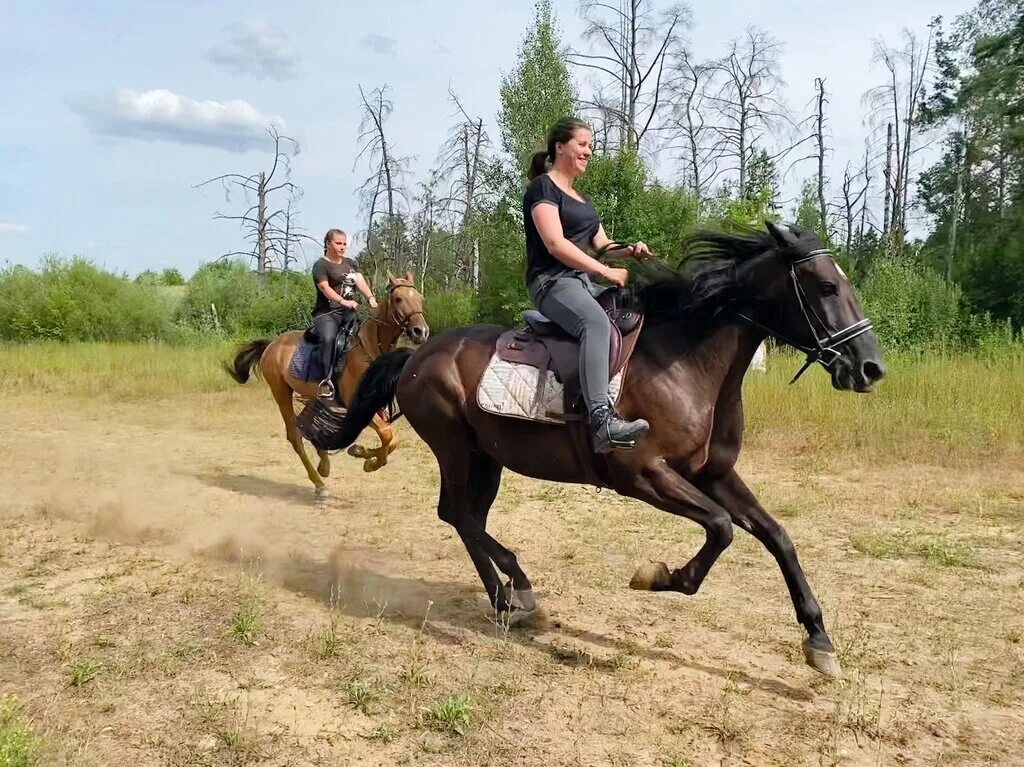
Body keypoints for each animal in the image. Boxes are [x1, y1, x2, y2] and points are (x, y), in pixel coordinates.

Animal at [226, 270, 430, 497]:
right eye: (398, 299)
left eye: (419, 298)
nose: (421, 331)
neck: (369, 349)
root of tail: (272, 345)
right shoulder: (357, 407)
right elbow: (388, 435)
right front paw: (369, 461)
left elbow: (392, 441)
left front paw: (361, 453)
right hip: (281, 391)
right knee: (295, 435)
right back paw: (319, 484)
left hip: (313, 394)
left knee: (309, 425)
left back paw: (324, 466)